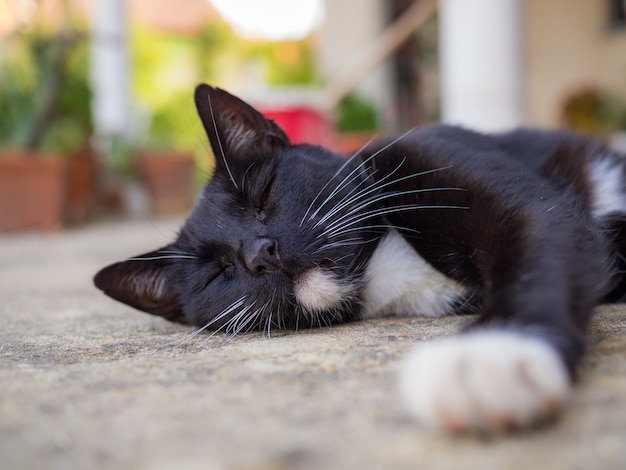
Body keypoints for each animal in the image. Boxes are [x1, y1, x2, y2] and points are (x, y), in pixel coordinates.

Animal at [95, 84, 624, 434]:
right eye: (218, 272)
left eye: (262, 196)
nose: (261, 254)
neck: (379, 263)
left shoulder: (444, 158)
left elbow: (538, 242)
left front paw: (493, 354)